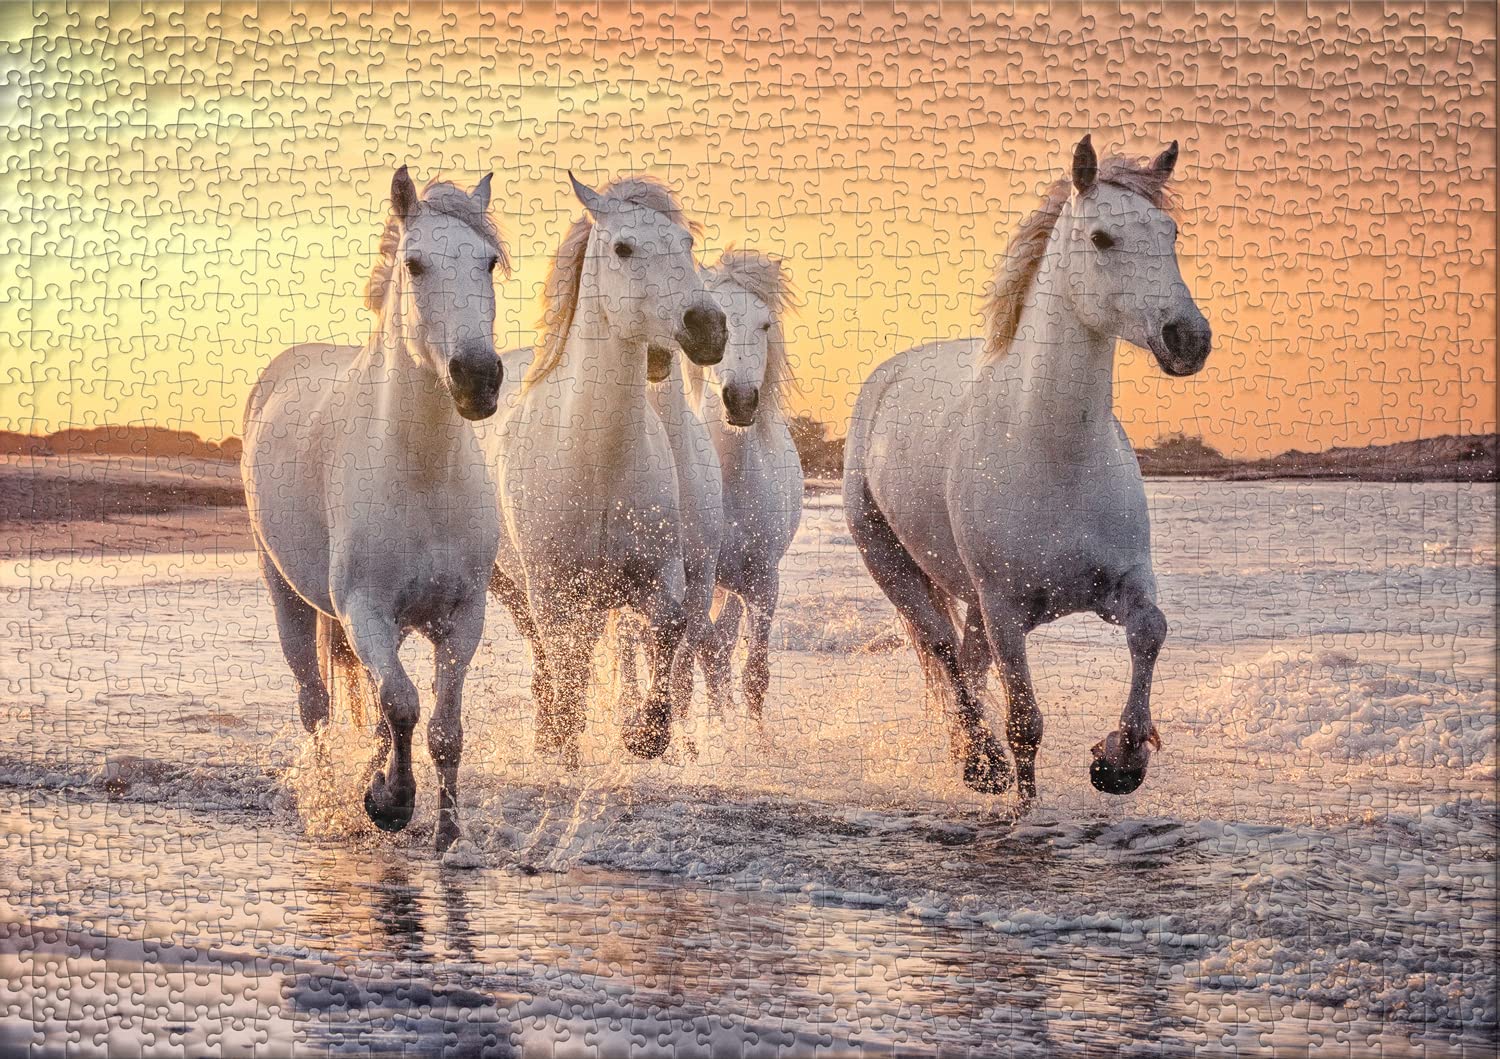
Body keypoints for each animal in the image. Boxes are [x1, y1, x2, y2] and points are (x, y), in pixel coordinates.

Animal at [242, 167, 508, 852]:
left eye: (489, 262)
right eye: (414, 263)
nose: (477, 378)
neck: (419, 472)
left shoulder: (462, 618)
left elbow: (441, 727)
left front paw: (447, 835)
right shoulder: (364, 610)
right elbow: (403, 706)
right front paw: (390, 803)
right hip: (288, 596)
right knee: (315, 704)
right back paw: (329, 797)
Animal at [480, 174, 727, 765]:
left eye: (686, 243)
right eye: (623, 248)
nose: (708, 326)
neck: (597, 463)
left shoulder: (661, 575)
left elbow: (668, 630)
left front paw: (645, 734)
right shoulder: (552, 590)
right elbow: (567, 668)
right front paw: (566, 745)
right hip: (513, 586)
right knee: (548, 658)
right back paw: (549, 735)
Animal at [842, 137, 1212, 803]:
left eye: (1170, 232)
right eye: (1101, 238)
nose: (1188, 338)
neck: (1053, 454)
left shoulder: (1121, 583)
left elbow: (1151, 630)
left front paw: (1120, 760)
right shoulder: (1006, 609)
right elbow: (1025, 725)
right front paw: (1025, 799)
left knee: (966, 662)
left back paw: (970, 756)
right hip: (892, 565)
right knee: (943, 650)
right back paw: (980, 762)